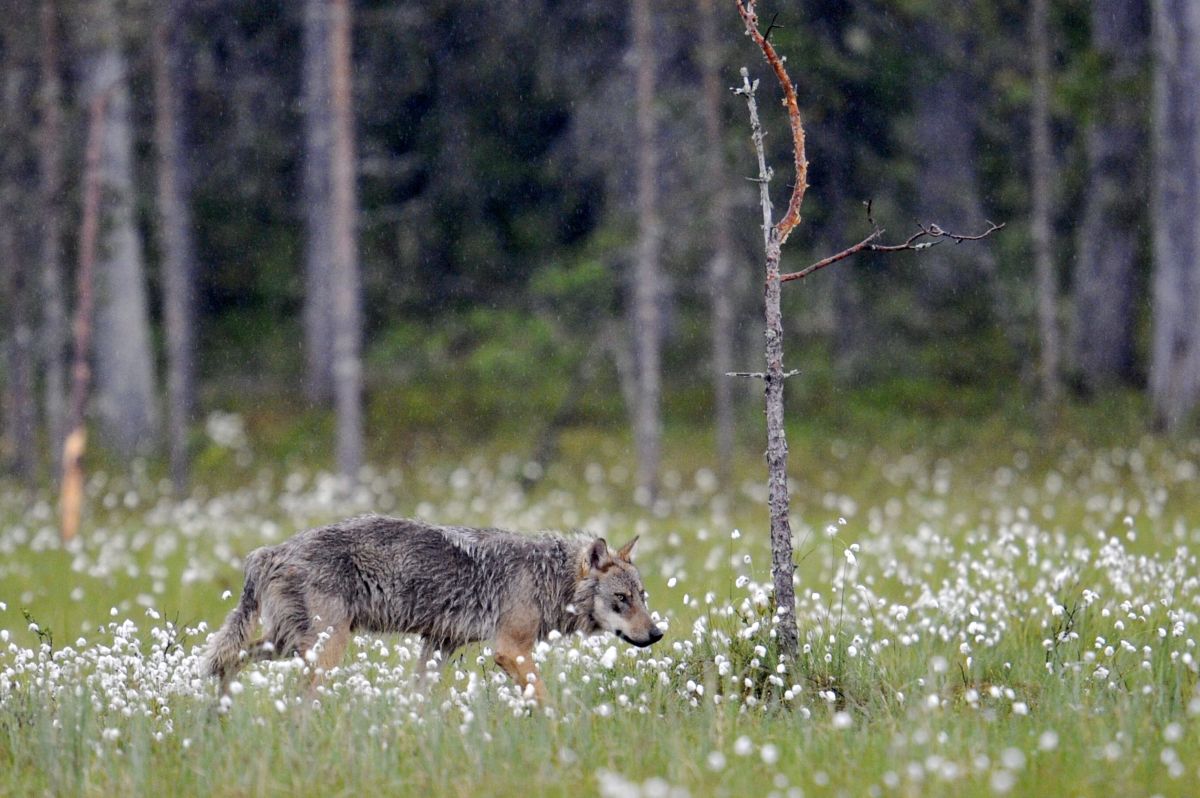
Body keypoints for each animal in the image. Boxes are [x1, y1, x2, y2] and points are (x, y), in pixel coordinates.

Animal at [201, 513, 662, 700]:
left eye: (641, 596)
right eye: (621, 600)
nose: (657, 633)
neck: (546, 574)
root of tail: (271, 551)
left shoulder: (439, 644)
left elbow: (419, 695)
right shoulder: (509, 649)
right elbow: (545, 696)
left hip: (286, 645)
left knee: (229, 661)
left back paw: (221, 715)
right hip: (325, 649)